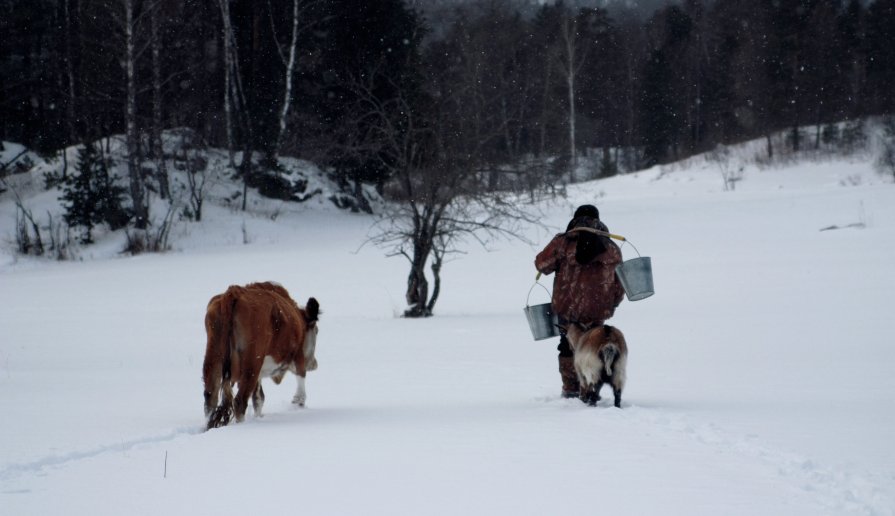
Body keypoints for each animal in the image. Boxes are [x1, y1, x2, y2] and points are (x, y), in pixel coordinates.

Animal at [201, 280, 320, 430]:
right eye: (316, 331)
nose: (314, 364)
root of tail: (233, 293)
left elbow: (258, 398)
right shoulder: (298, 354)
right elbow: (300, 379)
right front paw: (298, 401)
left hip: (214, 358)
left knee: (210, 398)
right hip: (251, 363)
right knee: (240, 401)